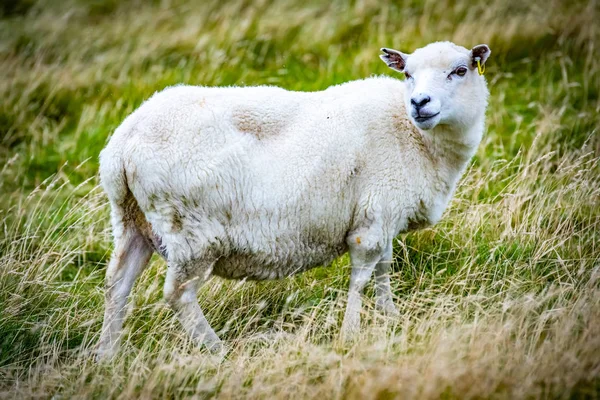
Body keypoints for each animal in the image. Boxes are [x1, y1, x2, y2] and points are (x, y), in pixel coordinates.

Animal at [96, 41, 490, 360]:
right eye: (407, 73)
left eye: (460, 70)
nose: (420, 103)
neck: (413, 135)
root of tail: (123, 144)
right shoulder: (372, 221)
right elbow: (362, 276)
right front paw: (351, 335)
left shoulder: (386, 213)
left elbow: (384, 269)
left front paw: (390, 316)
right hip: (192, 232)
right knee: (178, 295)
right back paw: (219, 352)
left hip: (132, 220)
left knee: (118, 284)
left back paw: (106, 356)